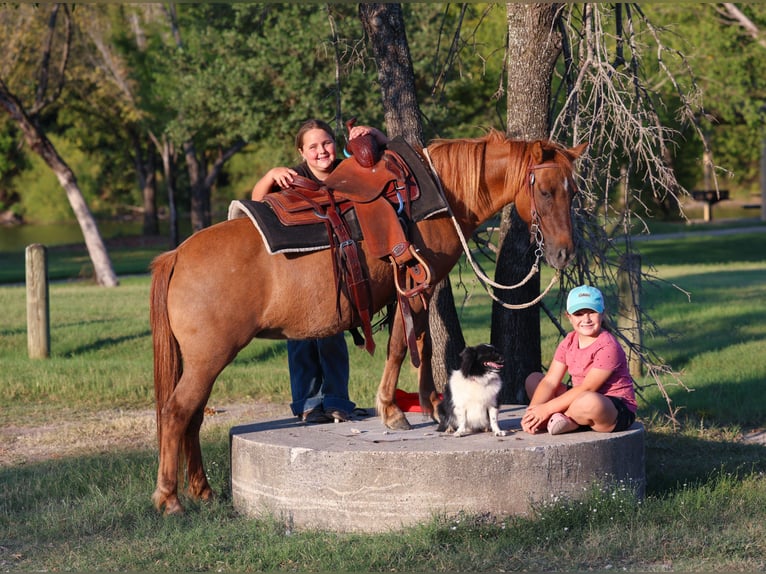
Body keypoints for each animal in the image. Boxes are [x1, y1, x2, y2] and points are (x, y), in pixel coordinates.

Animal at [150, 130, 587, 514]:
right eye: (545, 191)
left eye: (573, 192)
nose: (565, 254)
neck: (441, 195)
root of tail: (176, 255)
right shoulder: (413, 285)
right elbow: (401, 346)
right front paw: (393, 411)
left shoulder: (415, 288)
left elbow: (422, 342)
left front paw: (430, 405)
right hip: (210, 357)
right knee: (176, 413)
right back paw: (169, 498)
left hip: (203, 361)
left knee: (192, 416)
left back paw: (202, 491)